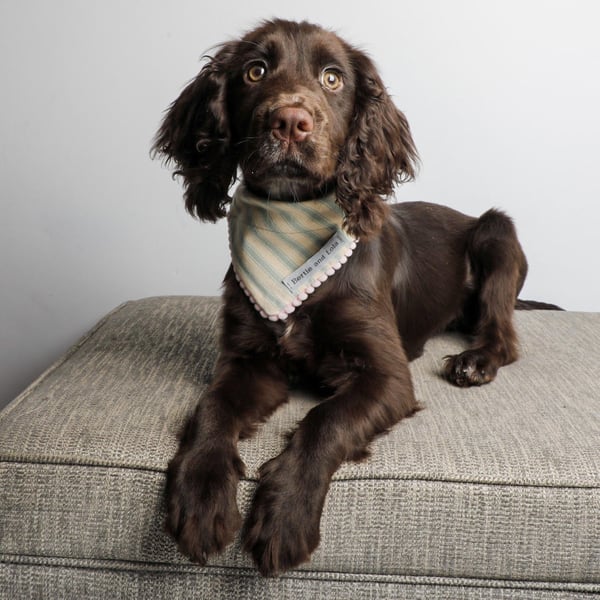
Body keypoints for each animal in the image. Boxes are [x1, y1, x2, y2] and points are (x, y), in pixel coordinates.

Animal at [154, 17, 536, 572]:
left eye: (332, 79)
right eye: (255, 70)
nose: (290, 122)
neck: (291, 229)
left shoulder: (387, 375)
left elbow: (325, 420)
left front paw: (286, 514)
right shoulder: (248, 359)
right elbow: (213, 407)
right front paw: (202, 495)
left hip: (496, 233)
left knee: (503, 332)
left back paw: (475, 361)